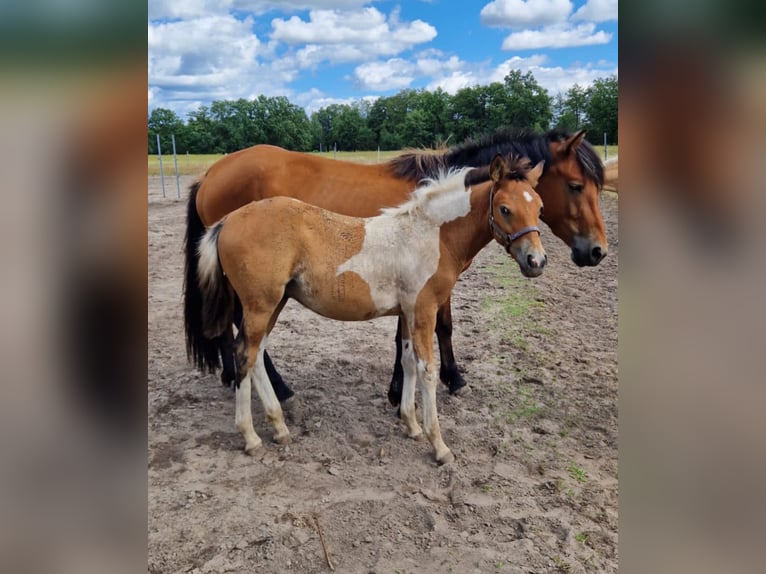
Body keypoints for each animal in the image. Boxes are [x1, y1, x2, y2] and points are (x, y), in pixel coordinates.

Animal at [183, 129, 608, 408]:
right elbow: (432, 330)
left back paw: (231, 377)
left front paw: (439, 379)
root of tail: (211, 174)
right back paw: (278, 388)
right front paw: (430, 383)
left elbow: (436, 328)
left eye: (539, 204)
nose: (596, 251)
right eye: (575, 185)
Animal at [195, 155, 548, 466]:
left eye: (540, 207)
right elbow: (427, 371)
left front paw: (411, 425)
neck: (430, 235)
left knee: (256, 355)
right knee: (245, 355)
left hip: (274, 304)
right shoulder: (424, 310)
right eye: (505, 209)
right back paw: (251, 437)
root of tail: (227, 221)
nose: (536, 262)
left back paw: (280, 428)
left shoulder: (407, 312)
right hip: (260, 305)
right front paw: (439, 445)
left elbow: (407, 362)